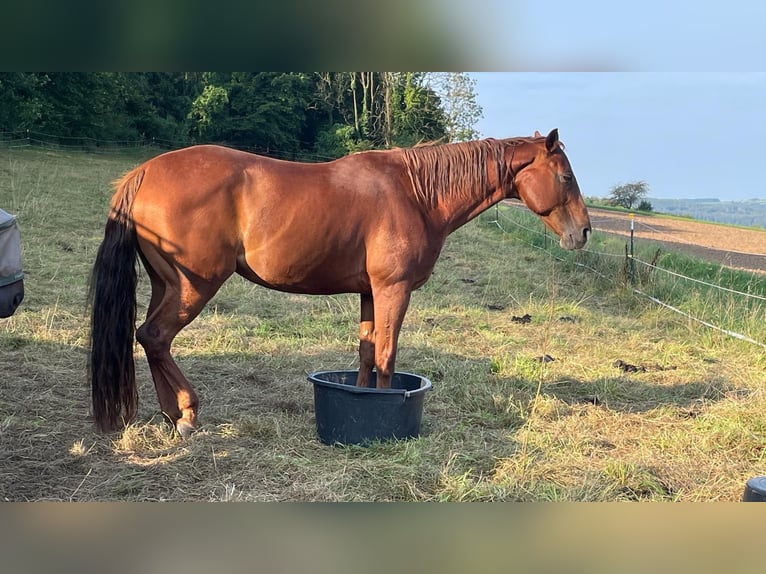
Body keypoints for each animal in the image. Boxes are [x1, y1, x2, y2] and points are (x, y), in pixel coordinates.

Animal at [88, 128, 591, 437]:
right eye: (566, 176)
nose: (583, 232)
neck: (416, 193)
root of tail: (144, 173)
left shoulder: (370, 293)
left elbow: (366, 354)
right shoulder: (393, 290)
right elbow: (387, 356)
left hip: (167, 285)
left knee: (152, 339)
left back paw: (172, 413)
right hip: (194, 286)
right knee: (155, 336)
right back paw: (188, 414)